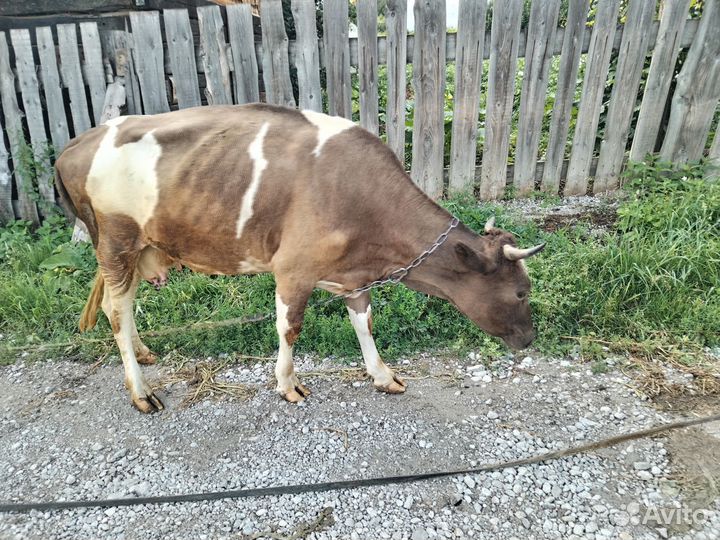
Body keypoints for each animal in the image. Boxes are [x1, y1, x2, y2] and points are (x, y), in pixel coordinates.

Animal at [54, 103, 545, 413]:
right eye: (521, 291)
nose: (530, 338)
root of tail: (76, 144)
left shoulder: (353, 274)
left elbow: (364, 323)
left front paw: (383, 375)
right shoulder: (293, 270)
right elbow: (290, 328)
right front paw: (288, 385)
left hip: (139, 249)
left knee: (121, 306)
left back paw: (144, 354)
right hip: (117, 242)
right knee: (117, 311)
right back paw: (141, 393)